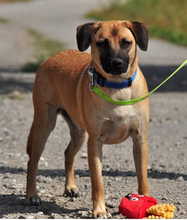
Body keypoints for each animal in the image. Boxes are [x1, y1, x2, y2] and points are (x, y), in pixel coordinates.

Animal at [26, 20, 150, 218]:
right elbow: (98, 182)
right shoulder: (95, 142)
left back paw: (70, 187)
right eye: (102, 43)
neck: (117, 88)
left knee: (68, 154)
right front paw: (99, 210)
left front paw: (147, 202)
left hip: (79, 133)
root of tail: (51, 58)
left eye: (126, 43)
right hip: (43, 126)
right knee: (33, 162)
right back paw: (32, 195)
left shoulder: (140, 139)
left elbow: (142, 177)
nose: (116, 63)